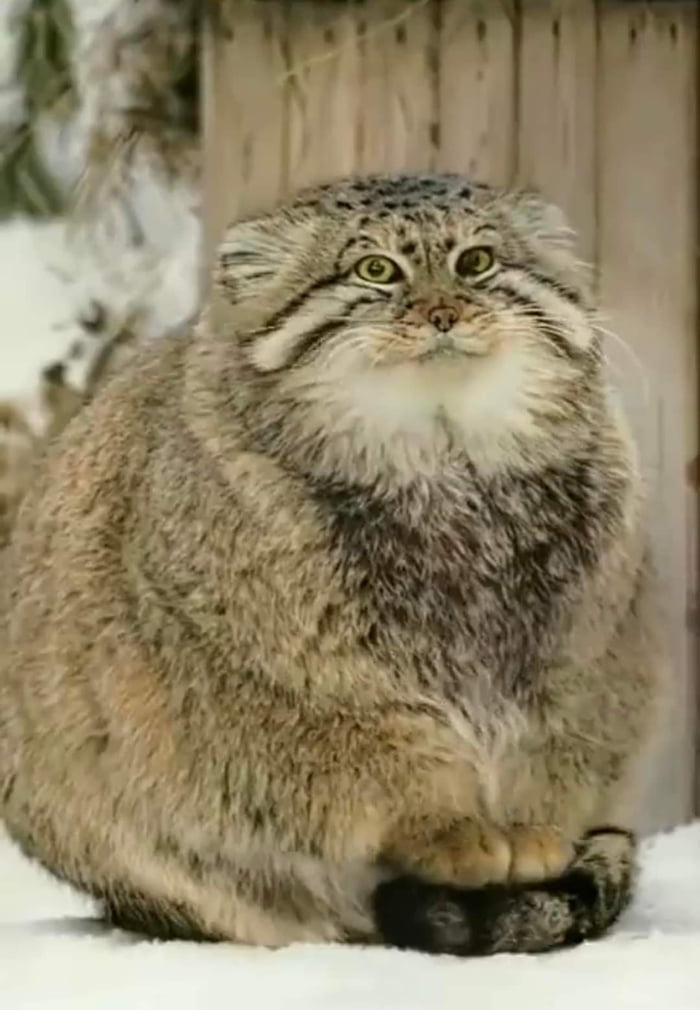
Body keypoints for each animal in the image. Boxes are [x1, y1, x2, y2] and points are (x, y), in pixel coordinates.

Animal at [0, 173, 662, 953]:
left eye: (476, 263)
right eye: (375, 270)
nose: (443, 312)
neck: (444, 464)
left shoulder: (580, 658)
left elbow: (548, 750)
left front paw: (530, 831)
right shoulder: (299, 685)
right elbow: (390, 766)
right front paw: (450, 833)